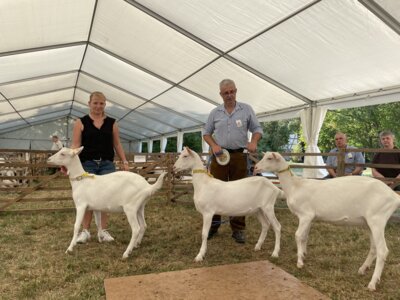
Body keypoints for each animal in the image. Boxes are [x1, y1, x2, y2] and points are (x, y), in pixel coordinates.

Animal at [255, 152, 400, 290]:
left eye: (269, 158)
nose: (256, 167)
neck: (295, 186)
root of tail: (394, 196)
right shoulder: (309, 218)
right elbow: (304, 237)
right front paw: (303, 255)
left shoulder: (305, 215)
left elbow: (298, 235)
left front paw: (299, 262)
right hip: (370, 223)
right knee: (374, 248)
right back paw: (362, 269)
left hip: (378, 220)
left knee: (382, 250)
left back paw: (372, 283)